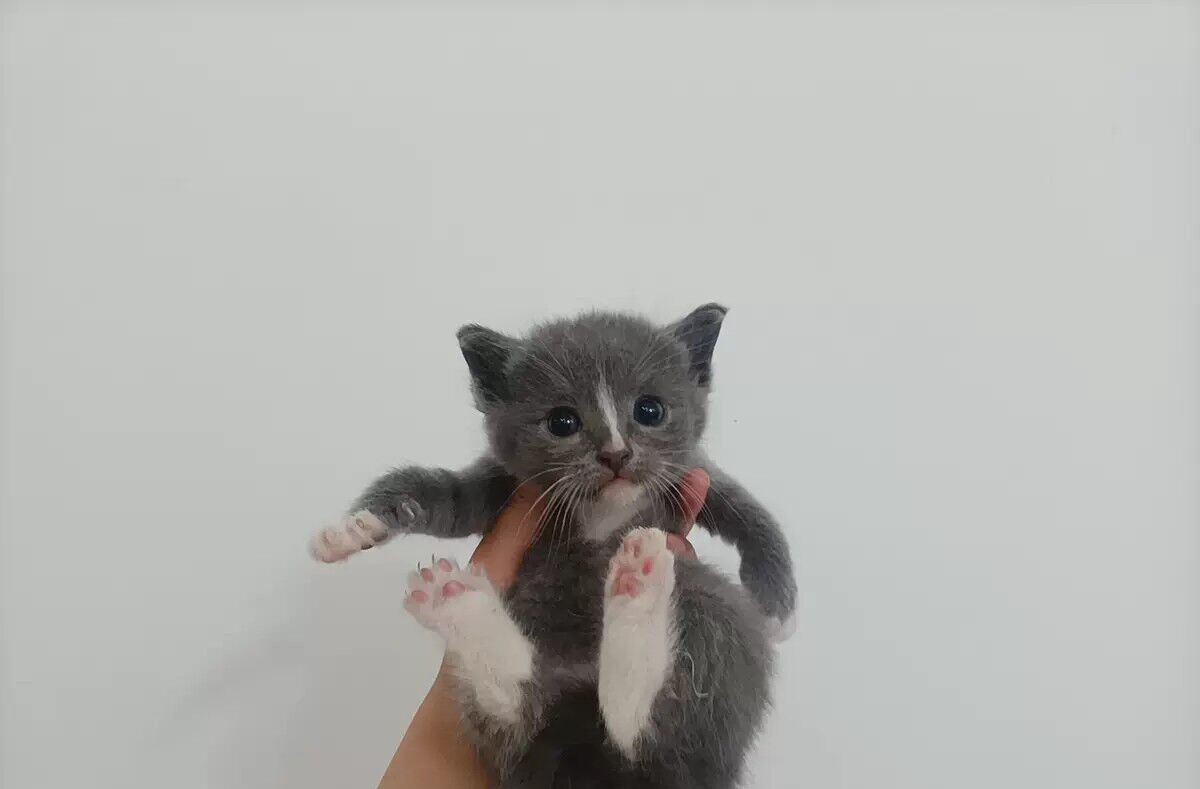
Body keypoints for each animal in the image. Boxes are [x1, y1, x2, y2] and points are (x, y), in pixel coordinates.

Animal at [309, 303, 797, 788]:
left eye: (650, 410)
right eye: (562, 422)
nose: (616, 454)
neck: (605, 509)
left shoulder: (692, 473)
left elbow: (748, 512)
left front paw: (777, 608)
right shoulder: (506, 487)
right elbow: (438, 494)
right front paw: (352, 528)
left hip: (710, 614)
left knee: (651, 729)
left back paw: (634, 590)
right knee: (526, 713)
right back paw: (458, 601)